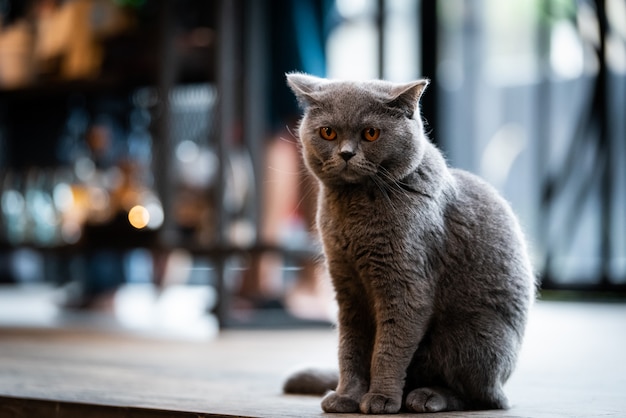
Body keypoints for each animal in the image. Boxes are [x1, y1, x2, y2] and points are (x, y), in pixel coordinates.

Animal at [282, 72, 532, 414]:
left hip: (473, 336)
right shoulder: (346, 285)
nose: (346, 154)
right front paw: (347, 396)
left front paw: (381, 398)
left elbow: (388, 349)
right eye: (328, 132)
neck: (354, 211)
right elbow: (350, 348)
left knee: (481, 397)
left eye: (371, 133)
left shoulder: (405, 285)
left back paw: (425, 397)